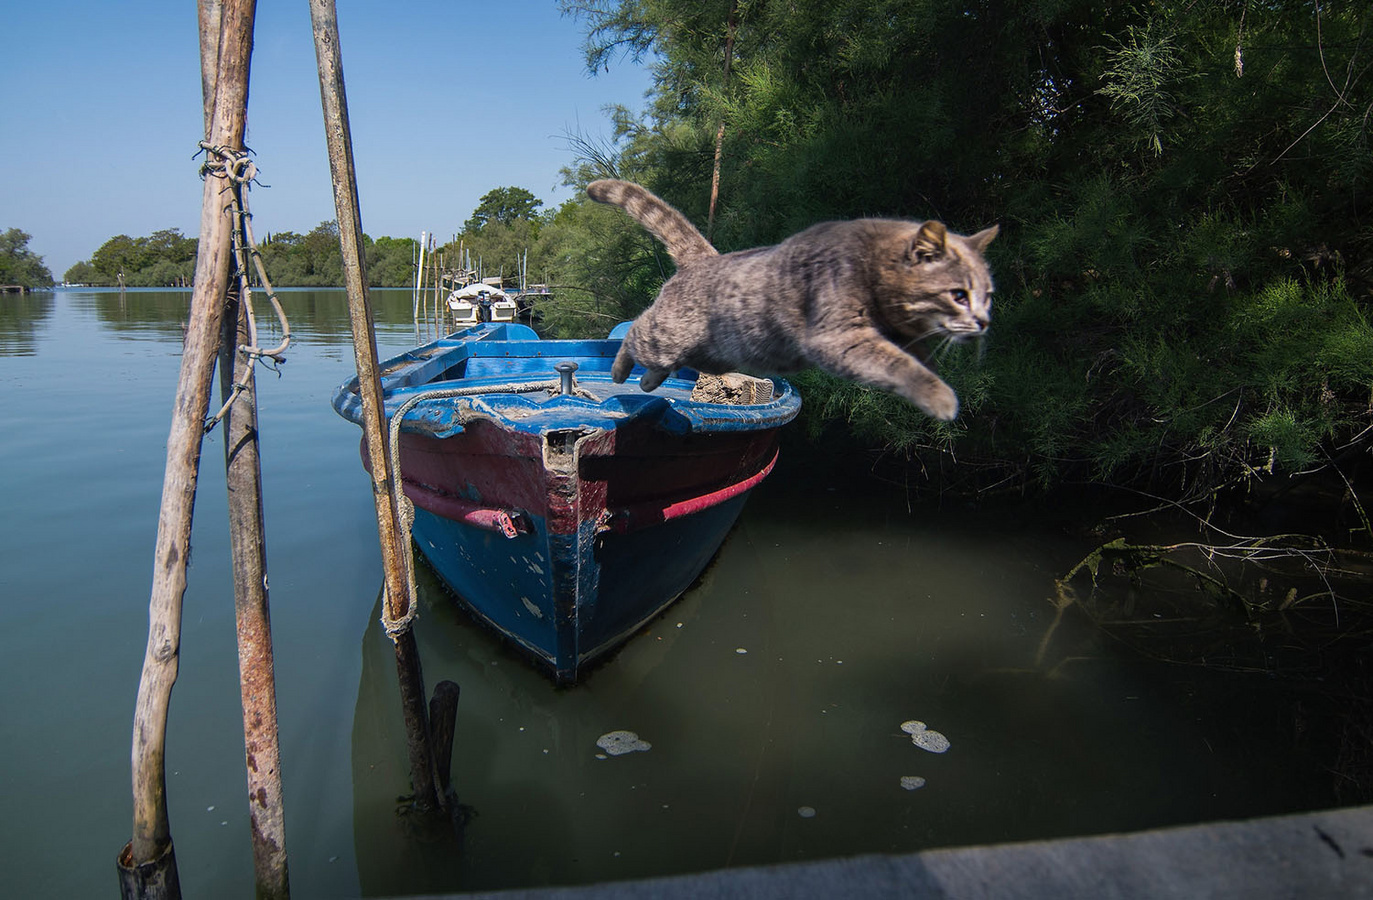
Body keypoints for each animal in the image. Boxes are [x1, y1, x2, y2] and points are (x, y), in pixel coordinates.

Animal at [587, 182, 999, 425]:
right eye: (958, 295)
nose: (983, 322)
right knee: (636, 331)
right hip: (666, 335)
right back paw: (620, 373)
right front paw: (941, 396)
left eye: (988, 295)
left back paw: (646, 382)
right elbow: (898, 365)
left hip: (711, 353)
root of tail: (706, 257)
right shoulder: (839, 338)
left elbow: (917, 358)